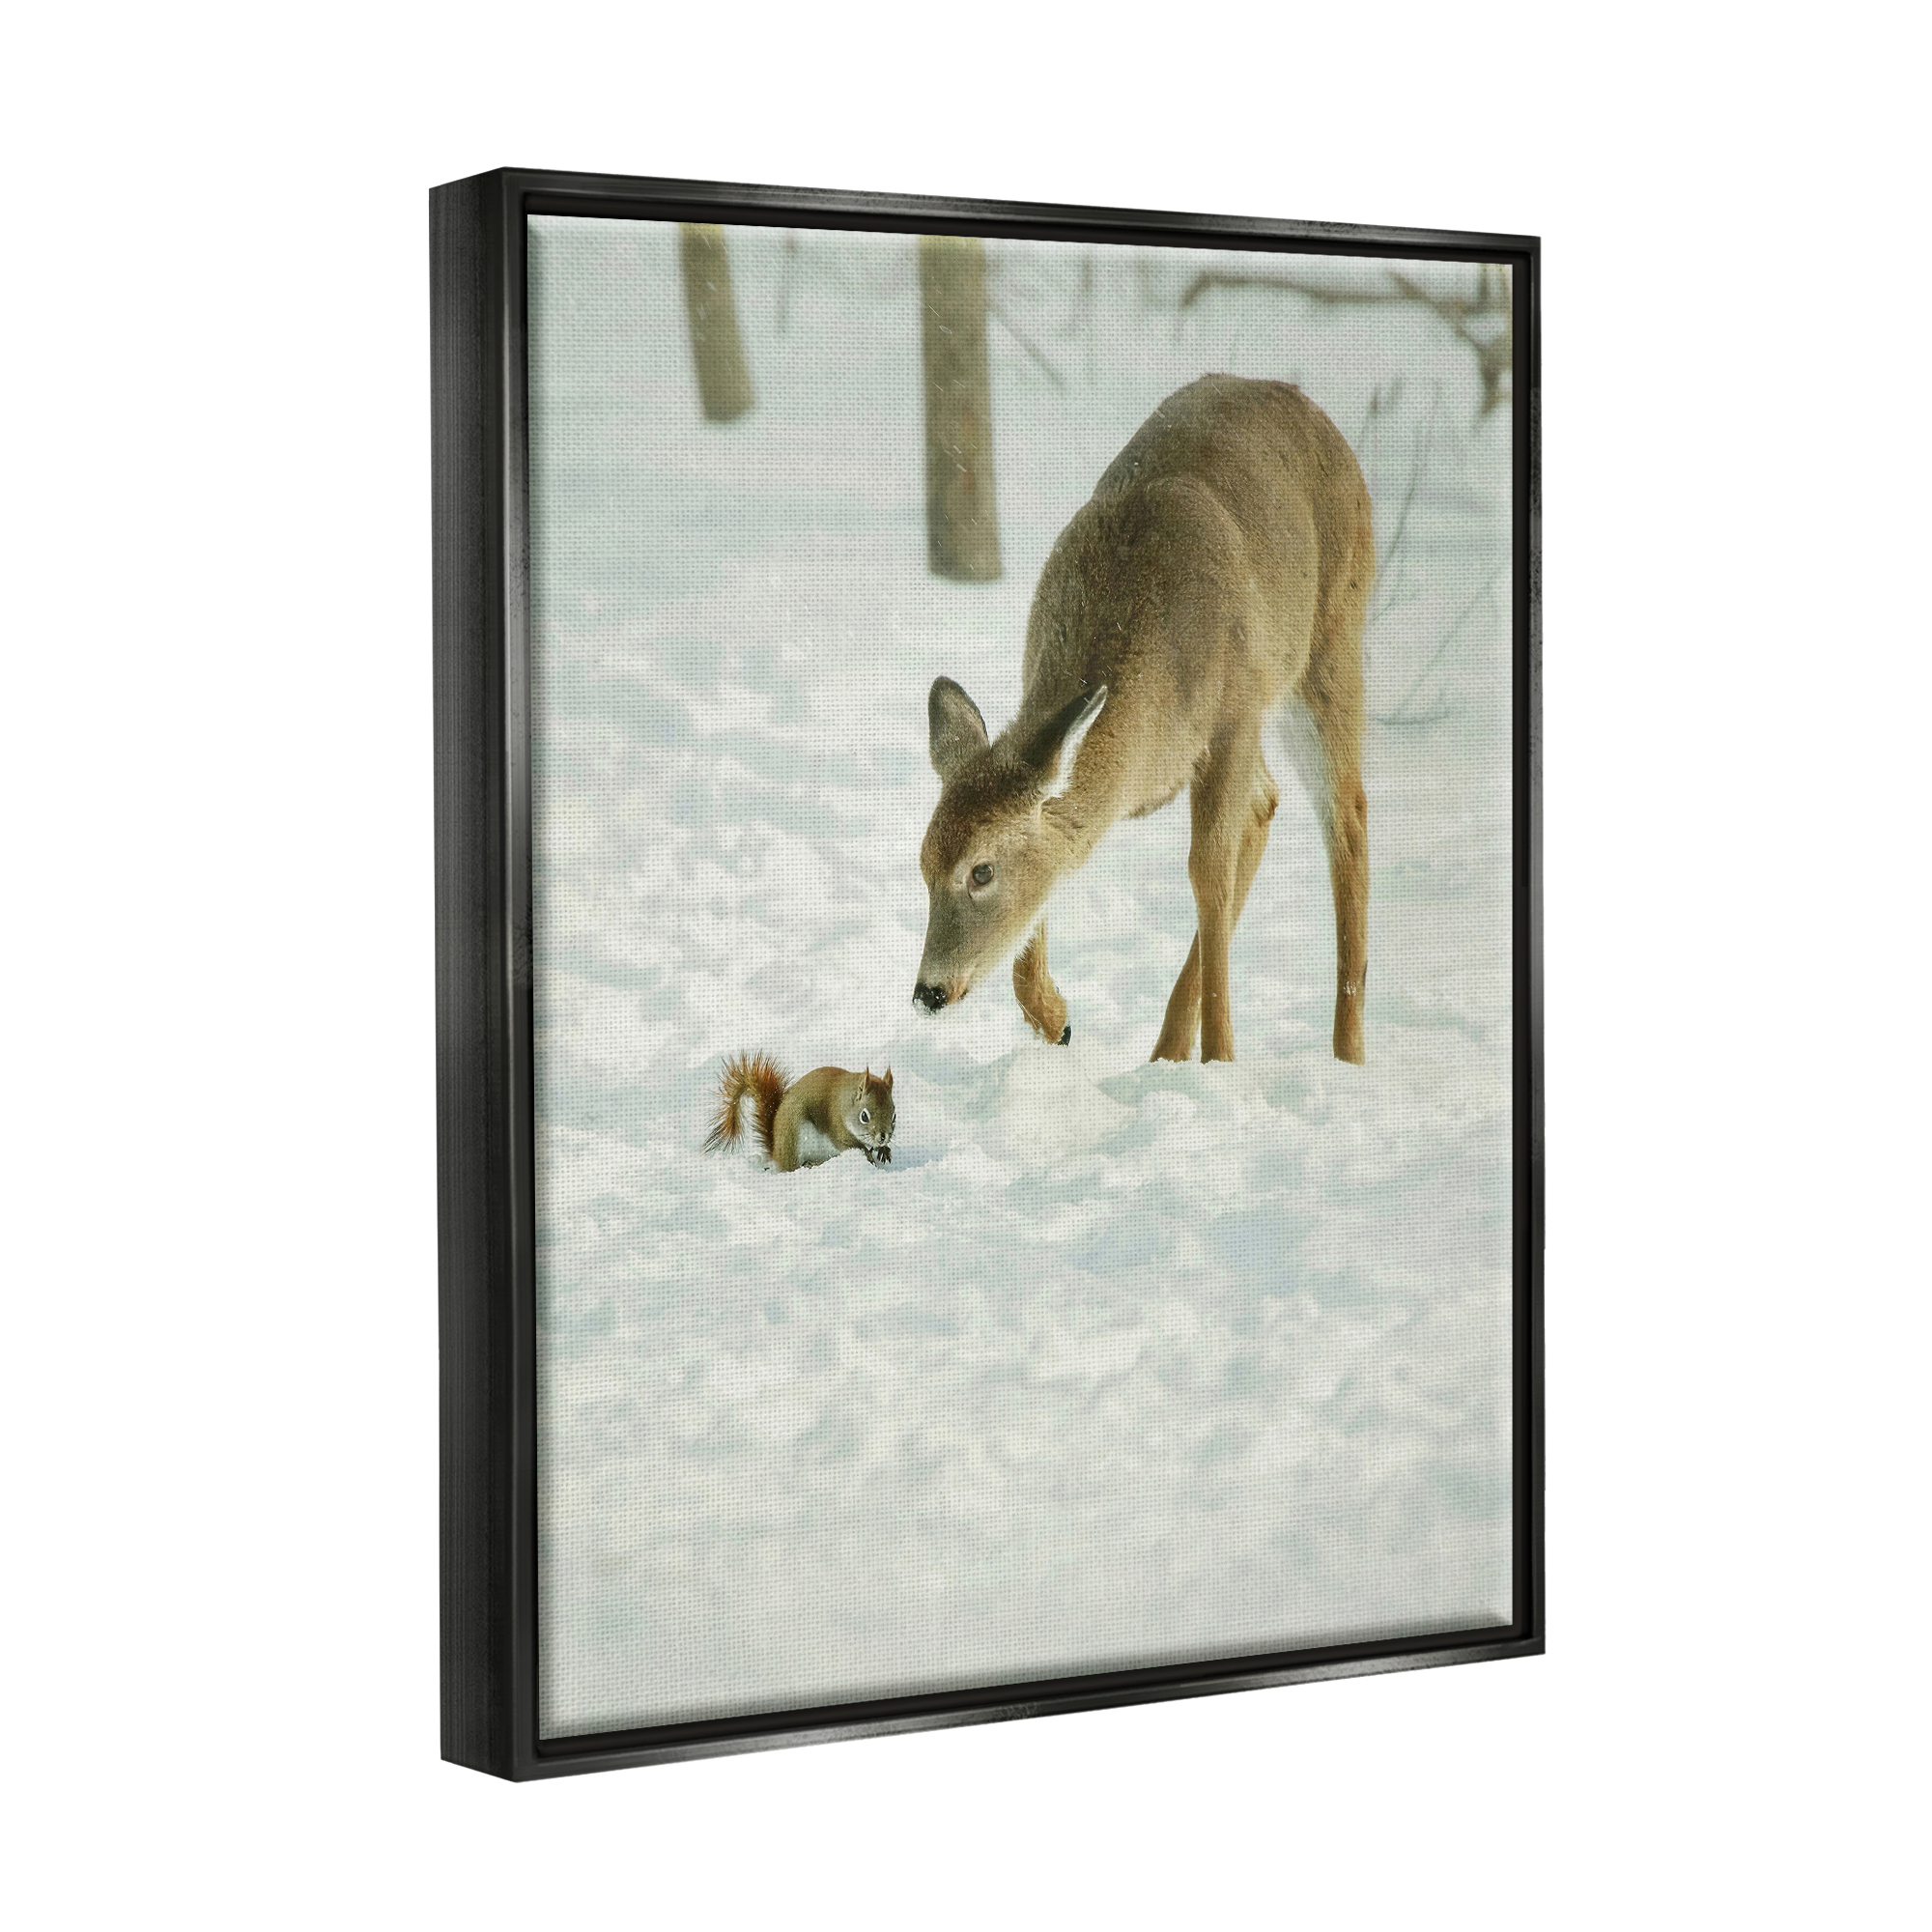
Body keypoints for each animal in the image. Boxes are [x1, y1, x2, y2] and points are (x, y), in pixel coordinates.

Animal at [705, 1051, 895, 1172]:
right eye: (864, 1116)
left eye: (894, 1115)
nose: (883, 1137)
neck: (845, 1102)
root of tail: (777, 1153)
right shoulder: (837, 1127)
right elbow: (850, 1145)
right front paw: (868, 1154)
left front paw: (884, 1150)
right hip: (795, 1136)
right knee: (792, 1166)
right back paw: (810, 1164)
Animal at [913, 374, 1372, 1066]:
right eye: (922, 865)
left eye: (981, 870)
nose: (928, 992)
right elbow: (1057, 860)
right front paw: (1055, 1019)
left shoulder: (1234, 715)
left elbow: (1206, 874)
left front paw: (1221, 1059)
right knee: (1268, 803)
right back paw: (1166, 1049)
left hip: (1328, 644)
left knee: (1346, 816)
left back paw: (1345, 1054)